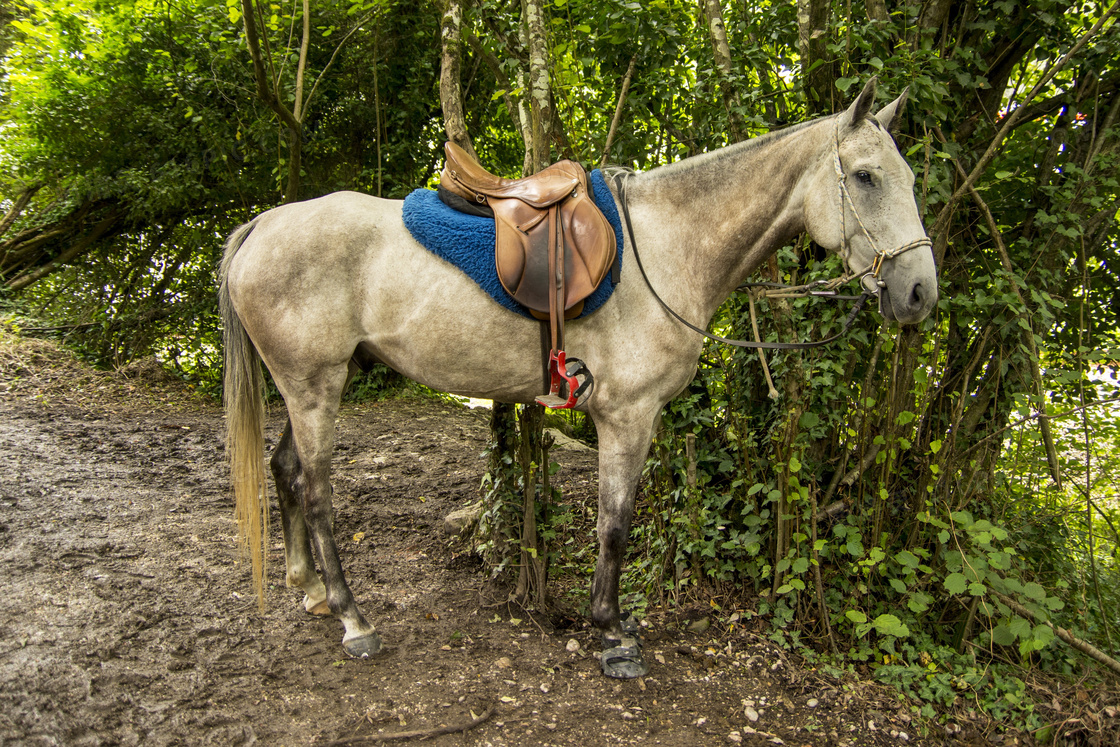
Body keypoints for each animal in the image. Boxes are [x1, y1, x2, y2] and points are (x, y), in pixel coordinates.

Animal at [218, 80, 936, 676]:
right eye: (866, 177)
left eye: (908, 179)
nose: (919, 292)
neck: (669, 245)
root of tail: (263, 223)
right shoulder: (628, 415)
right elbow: (614, 524)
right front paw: (612, 631)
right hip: (314, 387)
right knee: (316, 492)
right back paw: (353, 618)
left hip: (314, 385)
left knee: (285, 470)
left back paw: (310, 588)